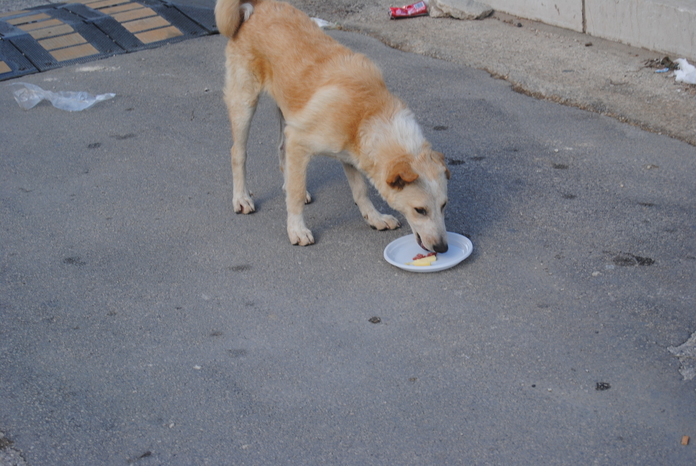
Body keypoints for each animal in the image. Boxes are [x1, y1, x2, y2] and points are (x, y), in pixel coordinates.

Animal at [215, 0, 450, 252]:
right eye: (420, 210)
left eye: (444, 205)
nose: (442, 248)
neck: (369, 111)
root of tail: (259, 4)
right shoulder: (300, 142)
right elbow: (296, 195)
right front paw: (296, 229)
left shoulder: (350, 155)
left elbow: (360, 191)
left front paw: (374, 217)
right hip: (244, 103)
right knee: (238, 153)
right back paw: (241, 198)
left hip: (287, 109)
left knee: (281, 149)